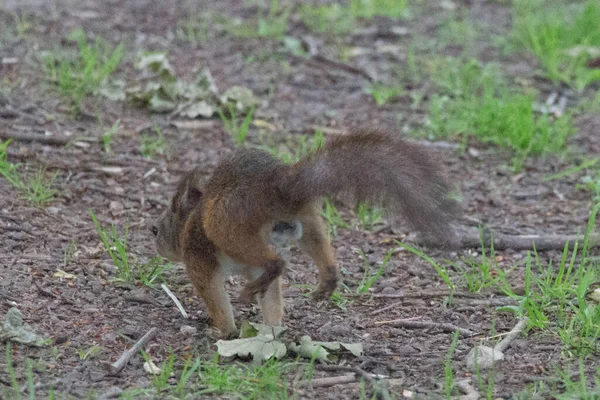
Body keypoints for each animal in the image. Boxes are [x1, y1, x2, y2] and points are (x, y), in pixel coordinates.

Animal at [152, 129, 458, 338]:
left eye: (156, 230)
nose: (153, 238)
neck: (188, 222)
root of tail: (277, 188)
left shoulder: (198, 258)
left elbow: (214, 296)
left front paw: (225, 332)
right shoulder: (250, 267)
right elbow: (271, 299)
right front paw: (271, 331)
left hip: (227, 223)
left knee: (275, 262)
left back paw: (256, 287)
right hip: (306, 221)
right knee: (311, 250)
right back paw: (328, 278)